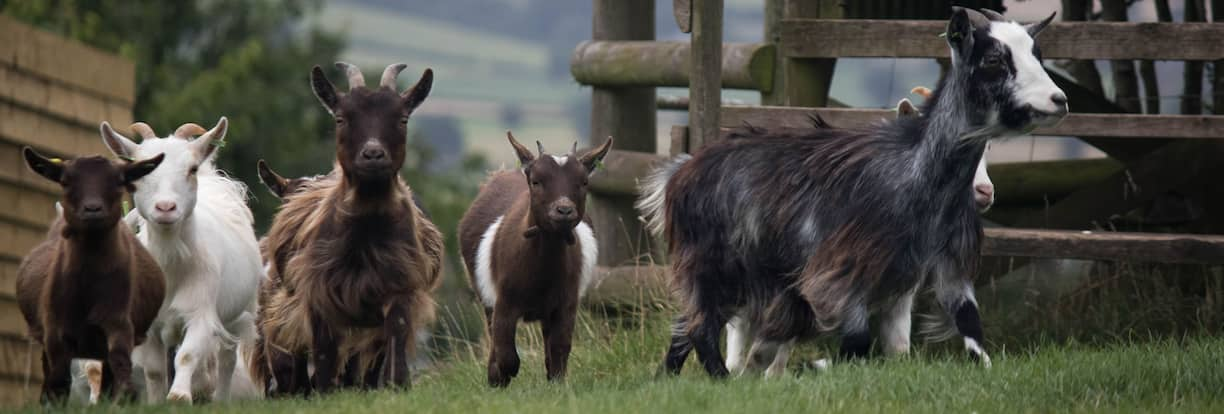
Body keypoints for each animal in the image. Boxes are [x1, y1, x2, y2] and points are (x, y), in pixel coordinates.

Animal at [17, 145, 166, 401]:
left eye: (119, 181)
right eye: (65, 182)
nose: (93, 210)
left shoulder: (118, 321)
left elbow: (120, 364)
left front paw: (125, 397)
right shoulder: (55, 331)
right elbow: (59, 381)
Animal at [101, 118, 264, 401]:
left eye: (191, 168)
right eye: (139, 171)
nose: (166, 208)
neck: (171, 268)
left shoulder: (201, 313)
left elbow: (187, 356)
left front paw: (179, 397)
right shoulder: (148, 326)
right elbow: (155, 372)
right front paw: (157, 402)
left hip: (238, 313)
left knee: (227, 358)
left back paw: (220, 400)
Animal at [249, 62, 445, 394]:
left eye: (402, 118)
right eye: (341, 118)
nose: (373, 154)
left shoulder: (400, 285)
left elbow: (394, 337)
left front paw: (397, 385)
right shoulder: (316, 296)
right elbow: (320, 356)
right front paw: (320, 392)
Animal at [636, 8, 1067, 377]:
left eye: (1037, 53)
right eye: (994, 59)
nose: (1059, 100)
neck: (916, 176)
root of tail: (678, 172)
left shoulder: (933, 272)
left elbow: (968, 332)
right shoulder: (840, 274)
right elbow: (856, 343)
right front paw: (811, 368)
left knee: (687, 325)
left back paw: (673, 378)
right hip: (713, 263)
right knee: (703, 327)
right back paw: (723, 379)